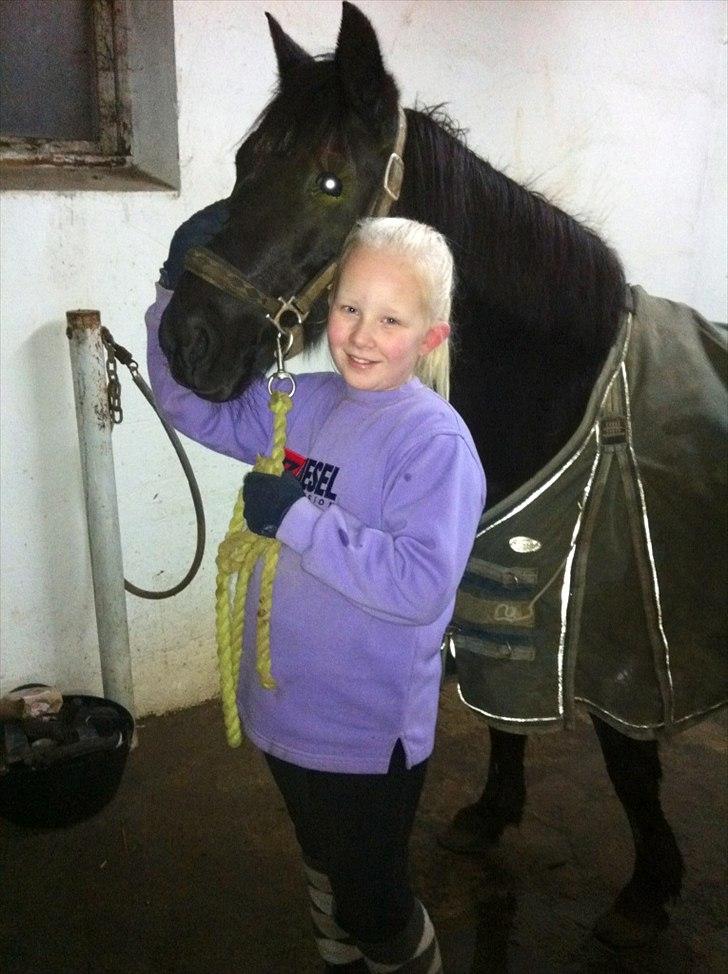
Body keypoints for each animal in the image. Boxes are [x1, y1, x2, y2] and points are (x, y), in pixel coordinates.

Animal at [158, 1, 727, 950]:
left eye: (330, 181)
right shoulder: (495, 592)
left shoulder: (629, 638)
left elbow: (630, 760)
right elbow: (500, 716)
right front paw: (491, 814)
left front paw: (647, 890)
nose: (183, 342)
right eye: (244, 164)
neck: (568, 392)